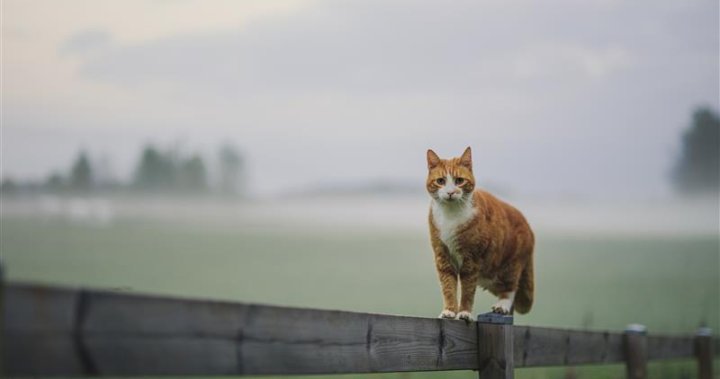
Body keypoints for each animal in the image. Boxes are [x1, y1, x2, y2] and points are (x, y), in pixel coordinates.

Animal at [428, 147, 536, 322]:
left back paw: (502, 305)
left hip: (510, 265)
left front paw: (464, 312)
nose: (450, 192)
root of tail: (527, 225)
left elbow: (467, 289)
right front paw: (449, 311)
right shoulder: (442, 255)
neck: (451, 215)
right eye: (441, 181)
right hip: (491, 276)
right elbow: (448, 285)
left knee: (511, 287)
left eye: (459, 180)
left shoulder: (472, 259)